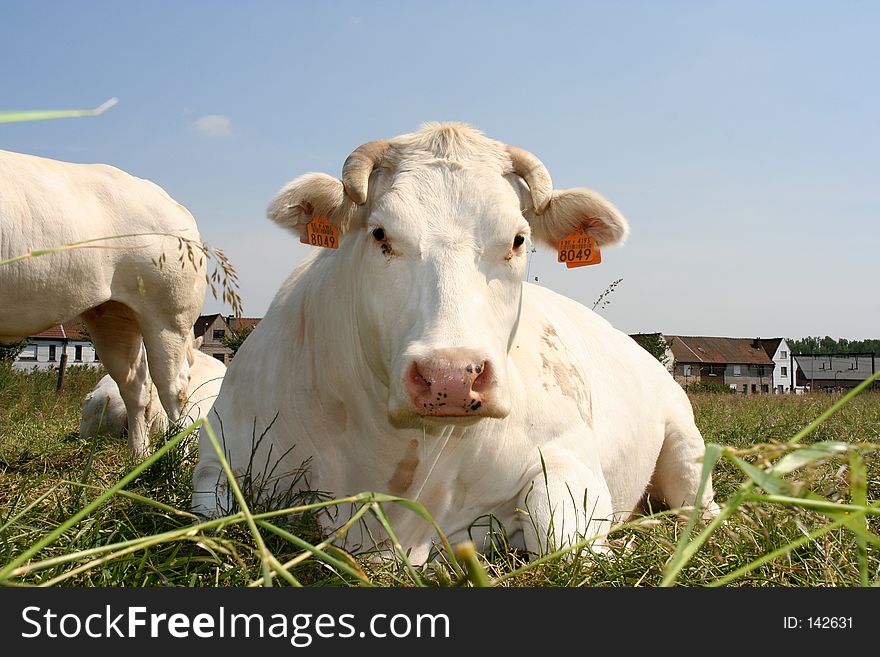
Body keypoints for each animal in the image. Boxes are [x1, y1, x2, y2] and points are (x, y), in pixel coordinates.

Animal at [0, 149, 207, 458]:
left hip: (168, 315)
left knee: (174, 389)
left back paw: (175, 458)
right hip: (112, 315)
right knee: (135, 384)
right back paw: (138, 456)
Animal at [191, 123, 716, 560]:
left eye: (518, 239)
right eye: (380, 233)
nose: (451, 377)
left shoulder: (570, 456)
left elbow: (561, 539)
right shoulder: (218, 458)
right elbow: (207, 528)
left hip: (685, 442)